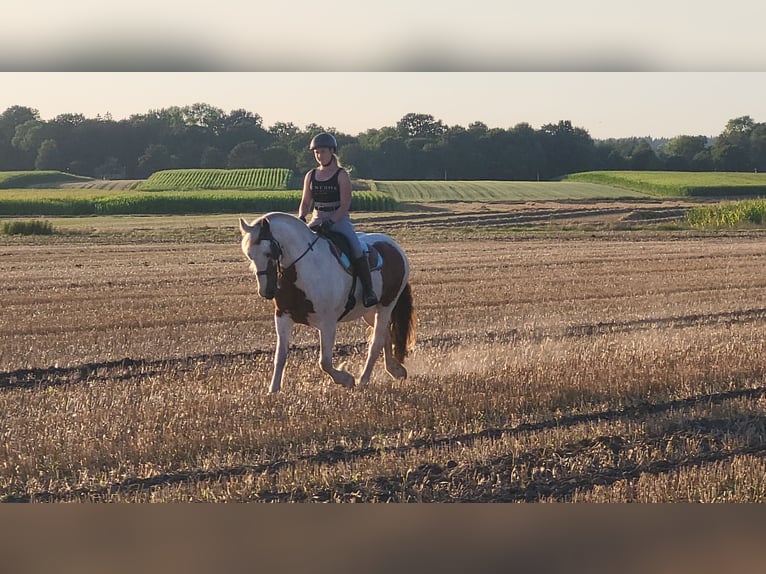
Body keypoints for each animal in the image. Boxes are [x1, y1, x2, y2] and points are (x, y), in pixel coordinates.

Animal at [242, 214, 416, 394]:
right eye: (249, 255)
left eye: (268, 252)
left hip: (386, 306)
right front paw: (273, 390)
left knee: (376, 342)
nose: (266, 291)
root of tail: (394, 246)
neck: (302, 269)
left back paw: (364, 379)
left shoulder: (327, 323)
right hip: (369, 312)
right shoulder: (282, 317)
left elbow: (324, 362)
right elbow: (280, 356)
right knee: (385, 335)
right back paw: (395, 370)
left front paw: (346, 379)